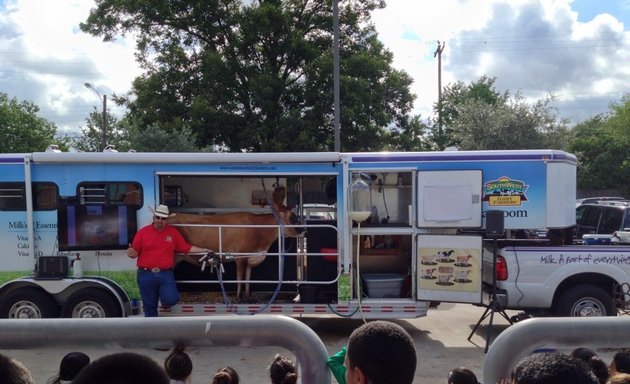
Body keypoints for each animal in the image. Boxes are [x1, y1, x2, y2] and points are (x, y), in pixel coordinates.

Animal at [170, 187, 304, 304]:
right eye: (293, 217)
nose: (304, 230)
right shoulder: (241, 256)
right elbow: (240, 277)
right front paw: (239, 297)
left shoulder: (251, 257)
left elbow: (248, 278)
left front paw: (249, 296)